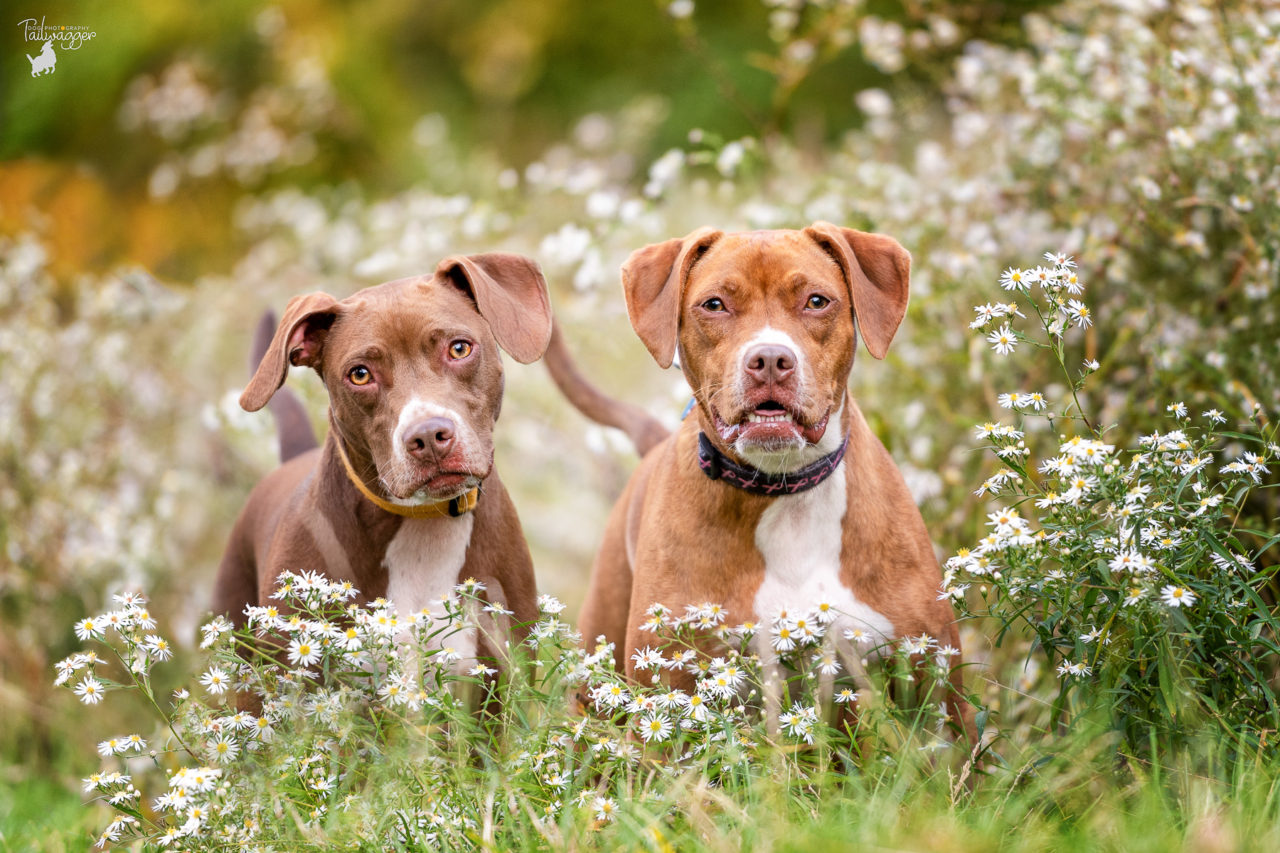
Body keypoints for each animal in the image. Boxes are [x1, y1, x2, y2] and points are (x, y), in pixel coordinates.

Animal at [545, 222, 972, 732]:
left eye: (816, 301)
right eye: (714, 305)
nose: (769, 359)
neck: (786, 491)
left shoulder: (936, 686)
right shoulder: (668, 694)